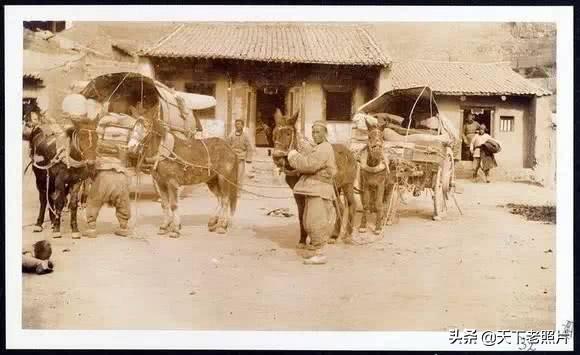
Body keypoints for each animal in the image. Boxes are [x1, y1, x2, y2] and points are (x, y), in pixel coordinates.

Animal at [272, 110, 358, 248]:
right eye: (274, 133)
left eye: (288, 133)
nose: (277, 158)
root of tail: (348, 151)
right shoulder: (297, 192)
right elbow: (301, 215)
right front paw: (303, 240)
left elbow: (309, 214)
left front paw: (311, 240)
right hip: (336, 187)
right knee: (340, 206)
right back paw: (334, 235)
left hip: (348, 185)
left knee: (351, 204)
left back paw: (347, 235)